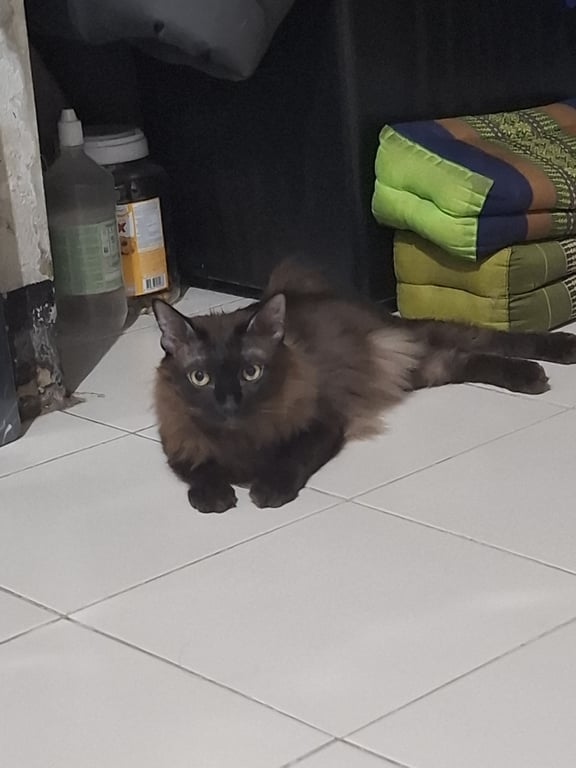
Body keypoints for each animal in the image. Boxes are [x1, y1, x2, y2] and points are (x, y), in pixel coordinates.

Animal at [153, 259, 576, 513]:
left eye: (251, 373)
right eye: (200, 378)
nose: (228, 403)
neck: (240, 440)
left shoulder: (323, 425)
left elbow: (290, 459)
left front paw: (267, 490)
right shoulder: (179, 445)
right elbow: (200, 470)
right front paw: (214, 496)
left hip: (413, 341)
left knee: (486, 337)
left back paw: (554, 356)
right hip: (423, 367)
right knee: (465, 357)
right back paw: (530, 375)